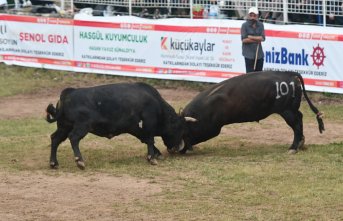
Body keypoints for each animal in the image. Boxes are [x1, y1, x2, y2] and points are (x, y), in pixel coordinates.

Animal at [45, 82, 188, 168]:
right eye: (179, 128)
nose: (177, 147)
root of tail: (68, 93)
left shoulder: (135, 128)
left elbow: (146, 140)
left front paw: (156, 154)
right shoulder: (148, 124)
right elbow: (150, 139)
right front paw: (152, 158)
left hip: (64, 126)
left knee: (55, 138)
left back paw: (53, 163)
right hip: (82, 126)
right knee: (74, 138)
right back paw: (80, 161)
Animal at [181, 71, 326, 154]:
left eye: (182, 130)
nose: (177, 149)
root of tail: (289, 74)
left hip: (287, 110)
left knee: (296, 123)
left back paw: (293, 147)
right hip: (290, 109)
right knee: (299, 118)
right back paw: (300, 143)